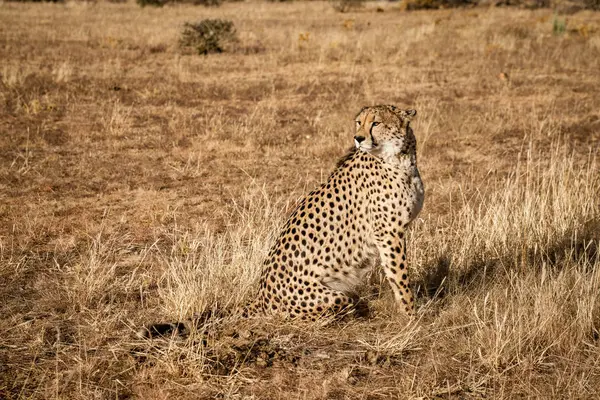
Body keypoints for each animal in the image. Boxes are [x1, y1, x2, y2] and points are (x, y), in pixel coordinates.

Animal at [139, 105, 424, 338]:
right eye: (359, 122)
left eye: (375, 123)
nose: (359, 138)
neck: (400, 158)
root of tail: (260, 295)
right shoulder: (388, 234)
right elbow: (401, 277)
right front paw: (414, 318)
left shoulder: (393, 233)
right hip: (331, 297)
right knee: (319, 313)